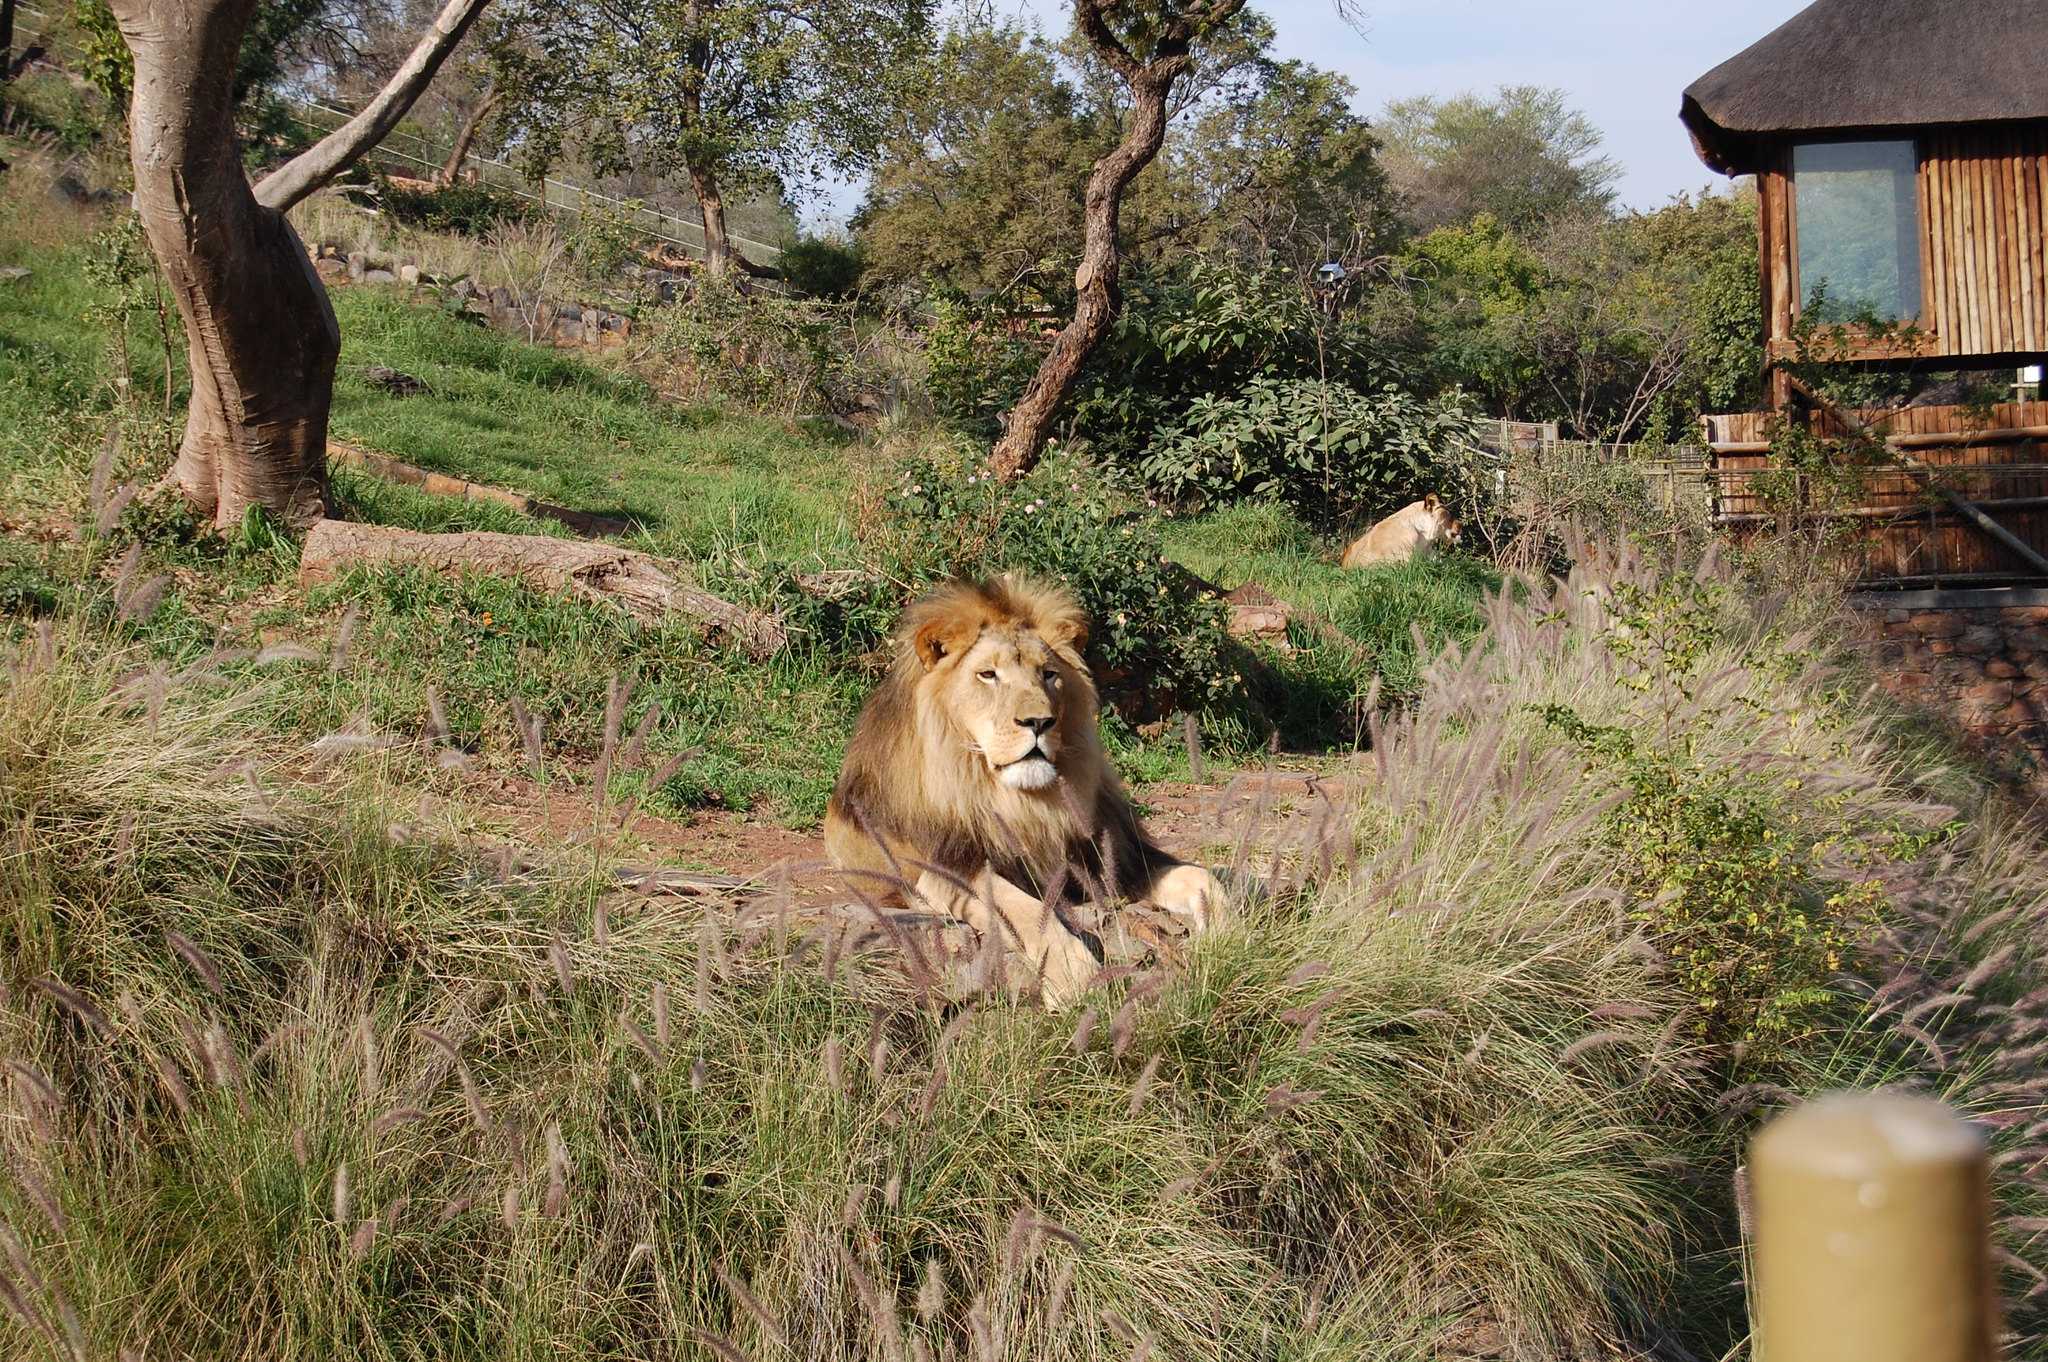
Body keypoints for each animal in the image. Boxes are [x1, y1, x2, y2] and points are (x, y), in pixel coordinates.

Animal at [823, 573, 1220, 999]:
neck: (1021, 801)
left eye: (1047, 673)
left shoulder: (1113, 855)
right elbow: (1024, 909)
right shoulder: (944, 872)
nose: (1038, 722)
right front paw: (1076, 977)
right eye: (988, 674)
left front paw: (1230, 934)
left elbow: (1203, 878)